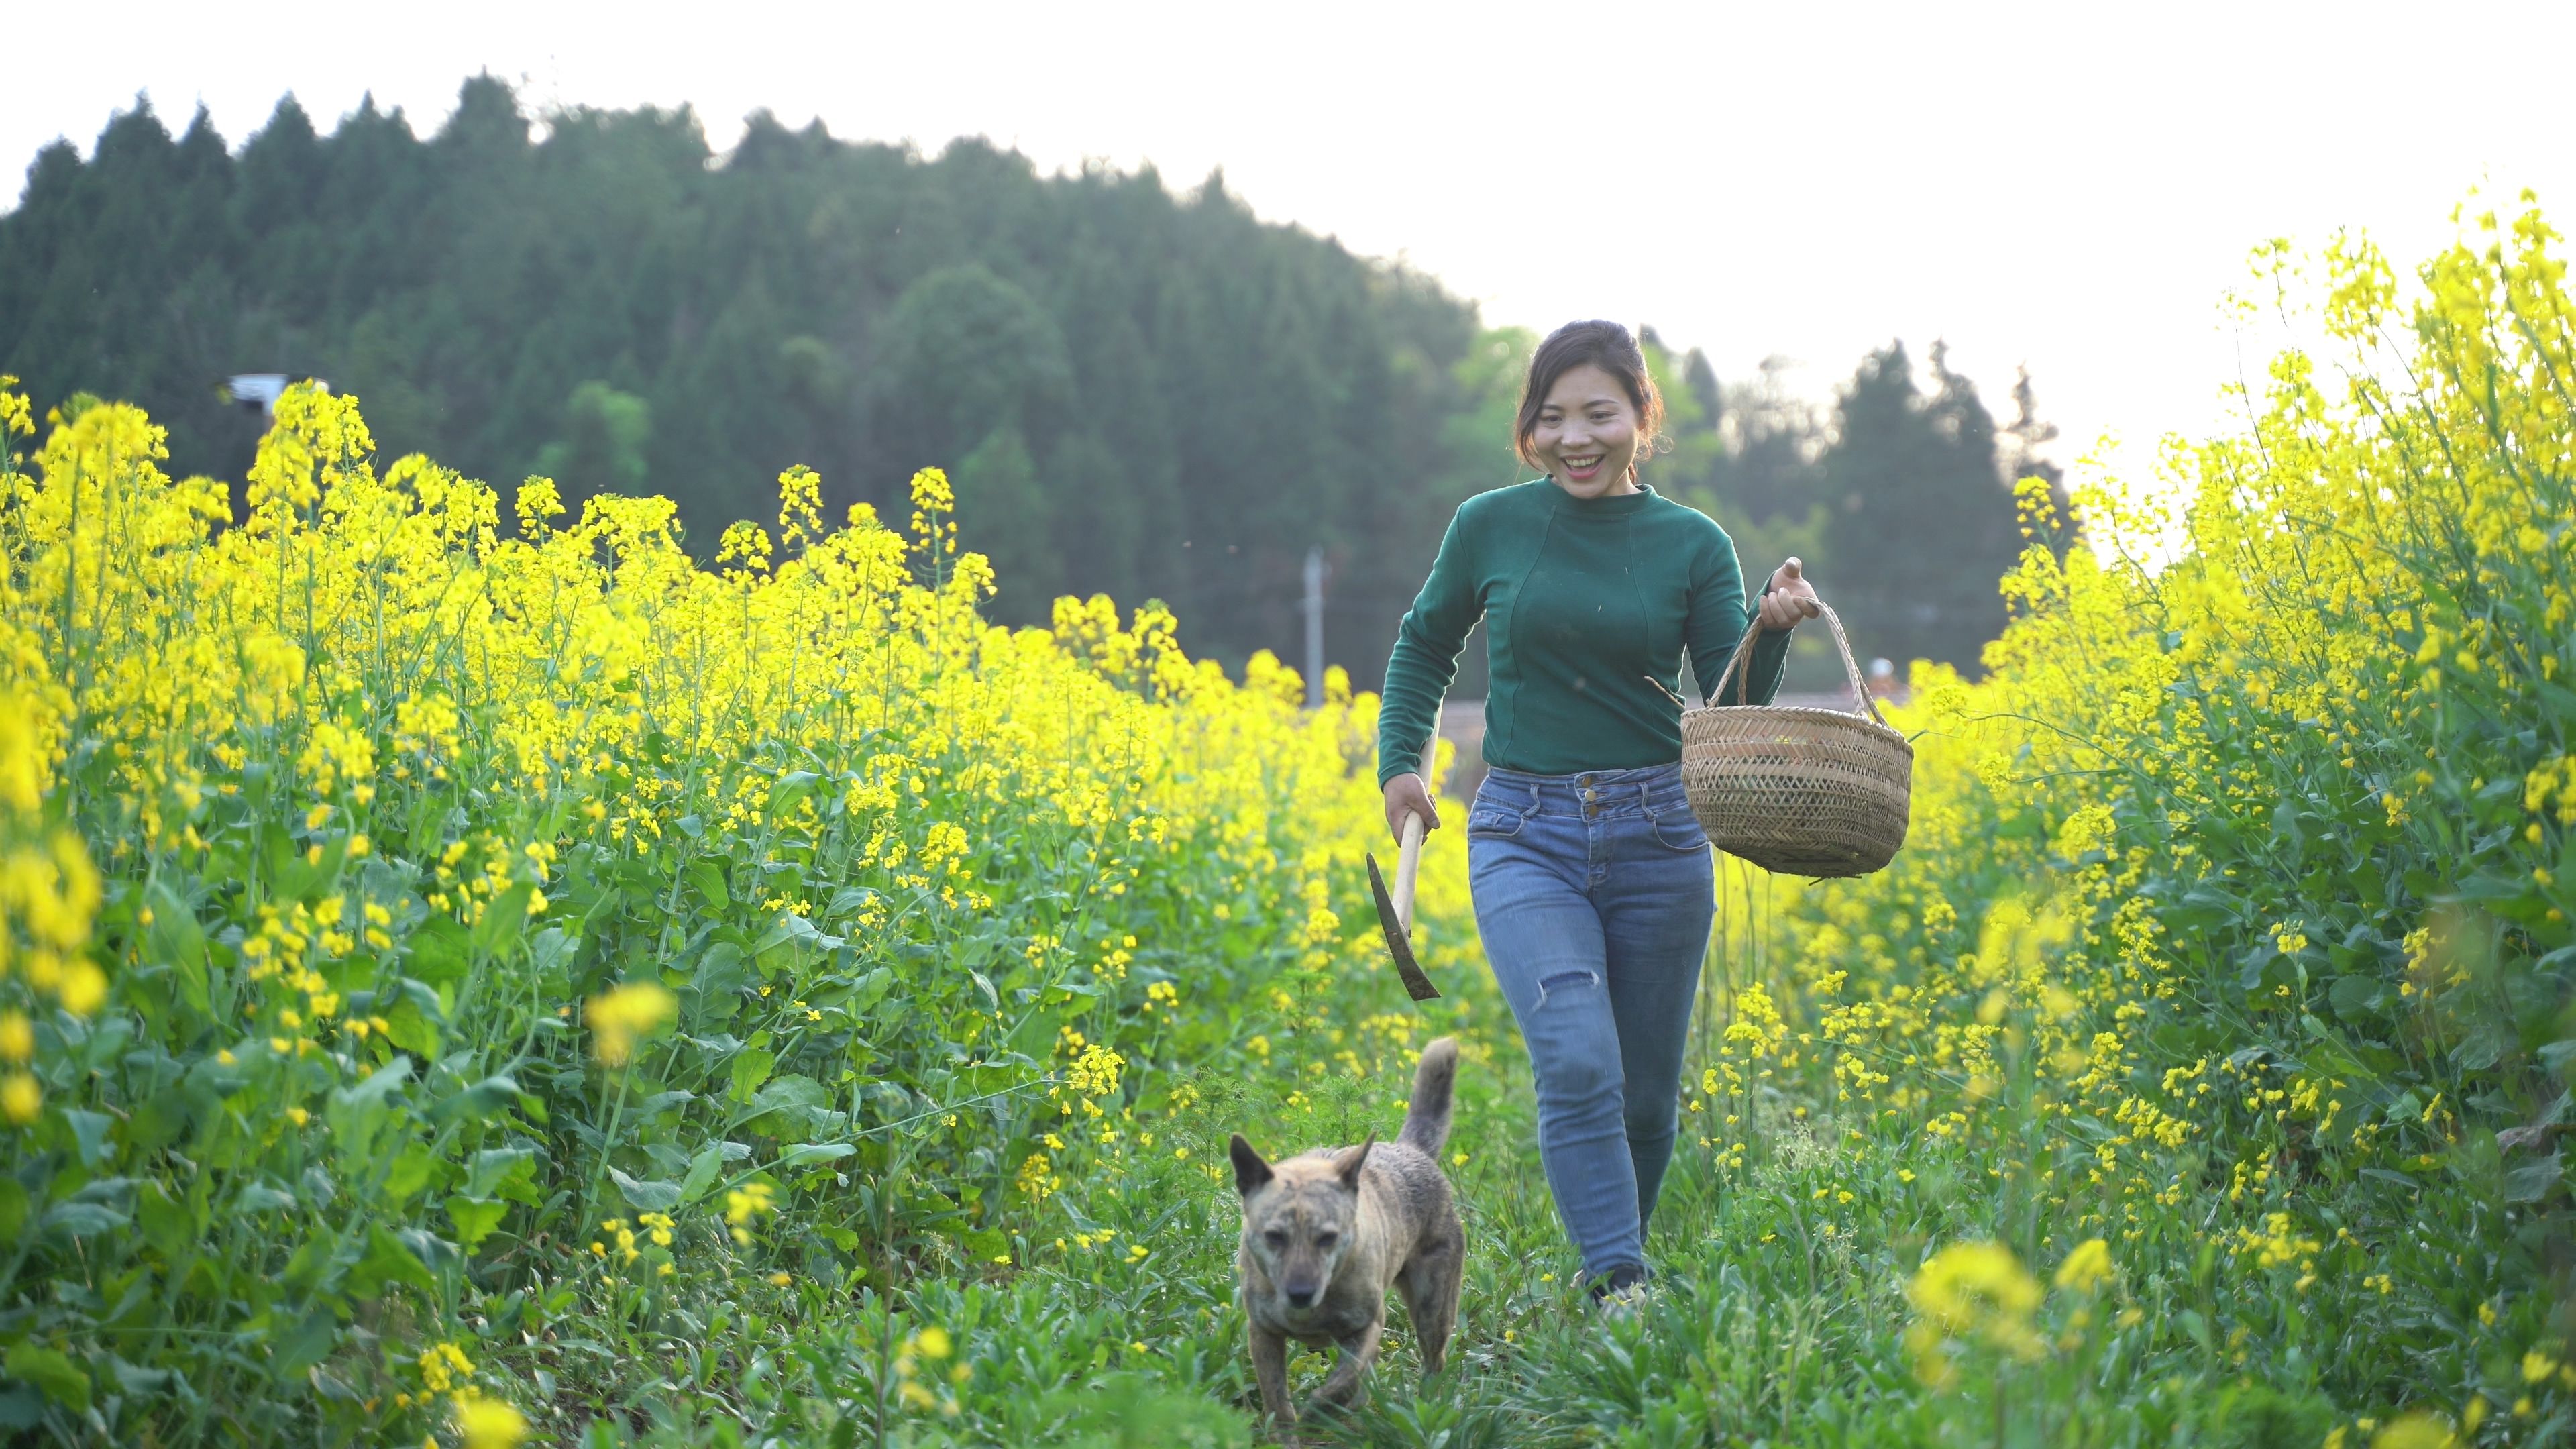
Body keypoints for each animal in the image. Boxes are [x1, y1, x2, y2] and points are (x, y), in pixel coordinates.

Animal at [1221, 1031, 1452, 1423]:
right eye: (1274, 1237)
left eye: (1327, 1238)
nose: (1300, 1294)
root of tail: (1411, 1151)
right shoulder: (1263, 1334)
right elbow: (1277, 1401)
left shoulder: (1366, 1327)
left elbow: (1344, 1380)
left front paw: (1320, 1410)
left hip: (1432, 1308)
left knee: (1434, 1361)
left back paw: (1426, 1406)